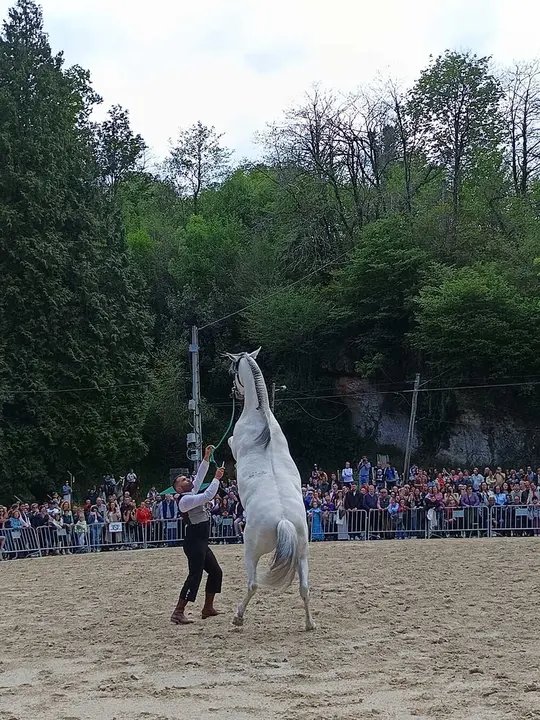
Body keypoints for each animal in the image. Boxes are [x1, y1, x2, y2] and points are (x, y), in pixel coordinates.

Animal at [224, 348, 315, 631]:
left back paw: (238, 617)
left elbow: (229, 442)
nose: (234, 392)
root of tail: (283, 520)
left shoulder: (233, 442)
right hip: (302, 554)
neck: (260, 416)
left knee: (253, 584)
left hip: (251, 550)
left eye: (233, 370)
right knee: (305, 588)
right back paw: (310, 624)